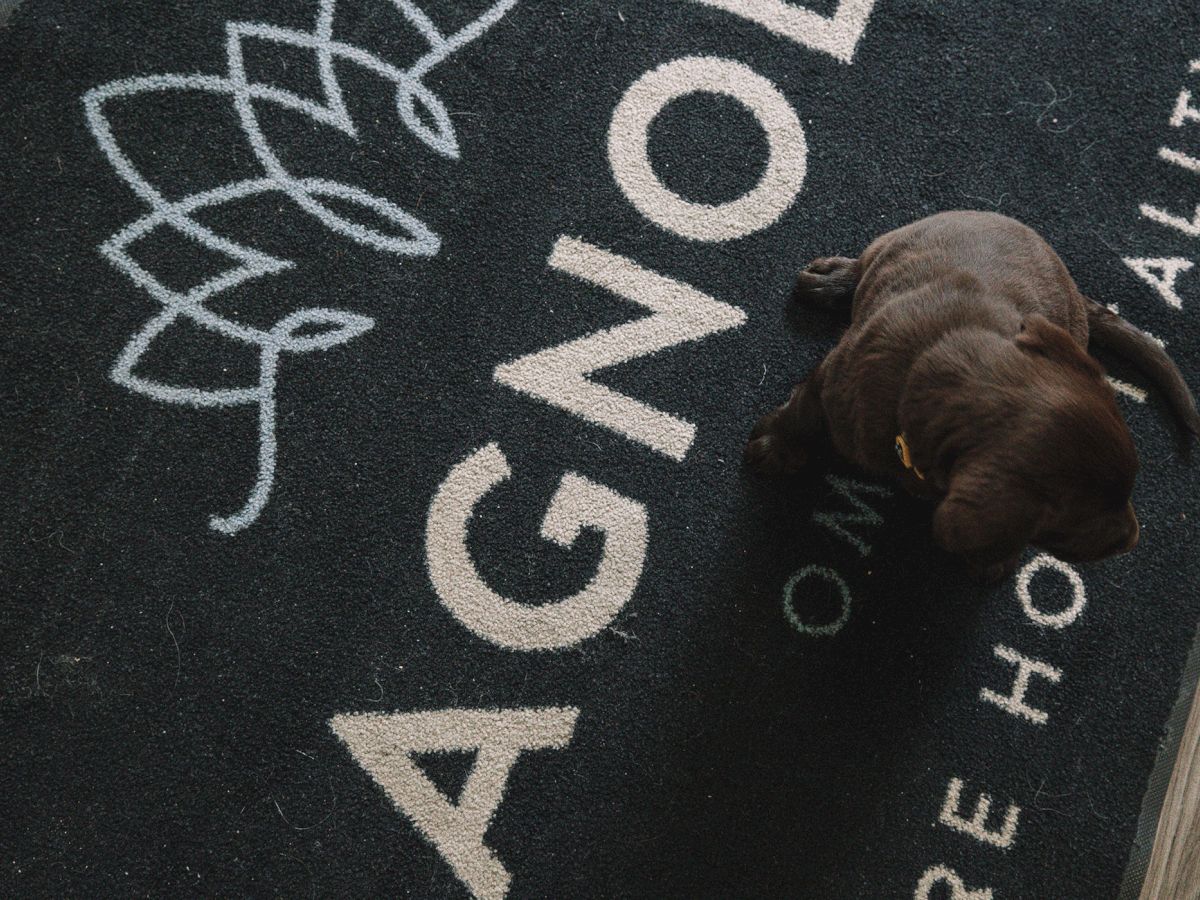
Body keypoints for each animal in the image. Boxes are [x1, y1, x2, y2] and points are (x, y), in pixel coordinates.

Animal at [744, 211, 1195, 580]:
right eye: (1075, 522)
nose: (1134, 537)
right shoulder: (837, 375)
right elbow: (803, 412)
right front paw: (775, 447)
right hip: (892, 242)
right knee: (862, 266)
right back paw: (829, 279)